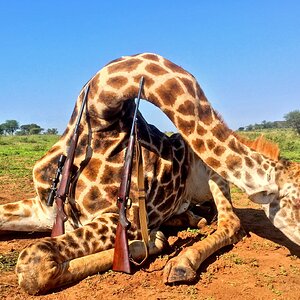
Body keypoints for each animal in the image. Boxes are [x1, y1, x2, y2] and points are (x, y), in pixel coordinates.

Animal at [0, 52, 300, 294]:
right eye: (298, 204)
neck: (98, 117)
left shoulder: (120, 217)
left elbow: (34, 262)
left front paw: (151, 242)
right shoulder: (45, 207)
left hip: (210, 168)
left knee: (232, 223)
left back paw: (179, 262)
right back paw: (187, 220)